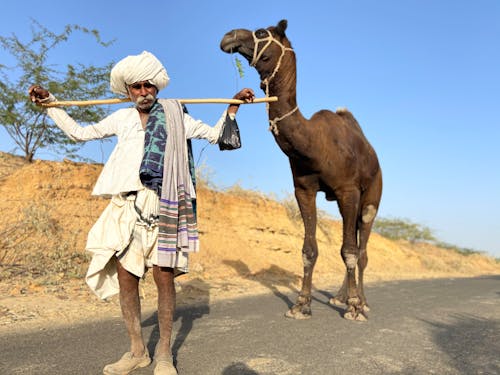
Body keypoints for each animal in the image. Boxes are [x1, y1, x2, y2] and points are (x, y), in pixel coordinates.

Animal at [220, 19, 382, 322]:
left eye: (261, 32)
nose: (227, 36)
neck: (315, 143)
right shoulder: (304, 189)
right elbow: (309, 249)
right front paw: (301, 305)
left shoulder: (348, 190)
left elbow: (349, 250)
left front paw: (354, 308)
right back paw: (339, 297)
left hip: (371, 195)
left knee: (362, 248)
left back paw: (362, 302)